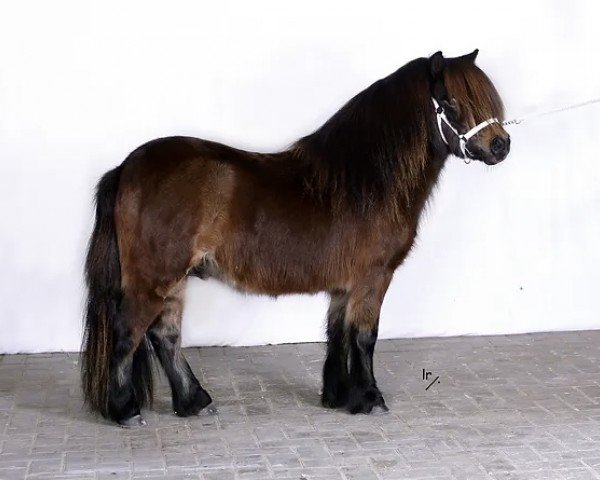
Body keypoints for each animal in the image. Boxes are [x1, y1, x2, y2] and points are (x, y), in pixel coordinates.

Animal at [81, 49, 510, 424]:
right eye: (451, 103)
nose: (500, 146)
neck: (367, 181)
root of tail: (127, 167)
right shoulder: (373, 278)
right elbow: (364, 337)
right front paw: (370, 399)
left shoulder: (344, 285)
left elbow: (337, 335)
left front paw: (338, 396)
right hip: (155, 277)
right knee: (128, 333)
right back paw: (125, 410)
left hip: (172, 279)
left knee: (164, 335)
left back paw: (195, 402)